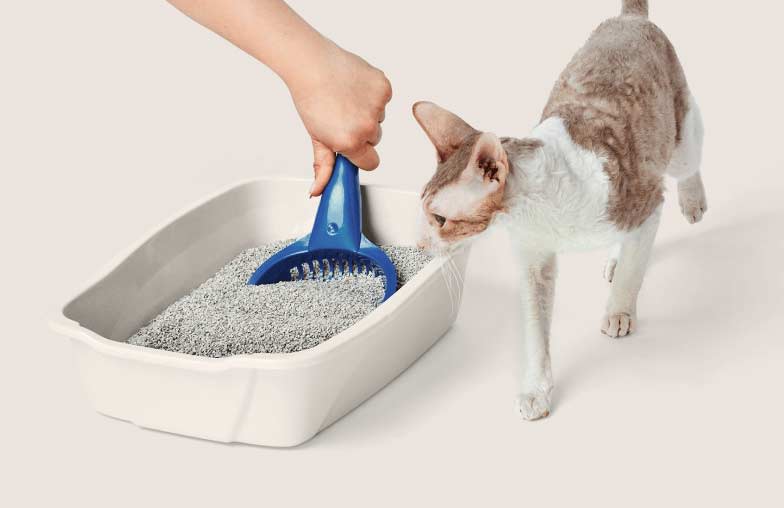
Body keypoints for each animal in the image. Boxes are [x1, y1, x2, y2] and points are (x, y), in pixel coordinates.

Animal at [414, 0, 708, 420]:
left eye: (440, 219)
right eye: (423, 209)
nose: (419, 245)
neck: (536, 212)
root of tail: (629, 18)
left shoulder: (646, 203)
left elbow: (633, 273)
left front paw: (619, 312)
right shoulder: (534, 260)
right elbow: (536, 330)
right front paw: (536, 390)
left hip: (678, 138)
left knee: (689, 160)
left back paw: (692, 200)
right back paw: (616, 255)